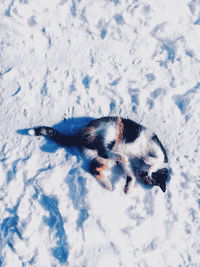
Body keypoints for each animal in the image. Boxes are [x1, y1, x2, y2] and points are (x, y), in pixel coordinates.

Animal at [28, 117, 169, 195]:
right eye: (147, 176)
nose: (146, 170)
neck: (138, 161)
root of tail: (80, 135)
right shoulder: (153, 143)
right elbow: (160, 157)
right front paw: (150, 161)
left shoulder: (129, 164)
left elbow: (130, 175)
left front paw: (127, 189)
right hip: (110, 131)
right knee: (103, 150)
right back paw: (120, 158)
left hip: (106, 160)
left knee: (94, 167)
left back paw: (108, 184)